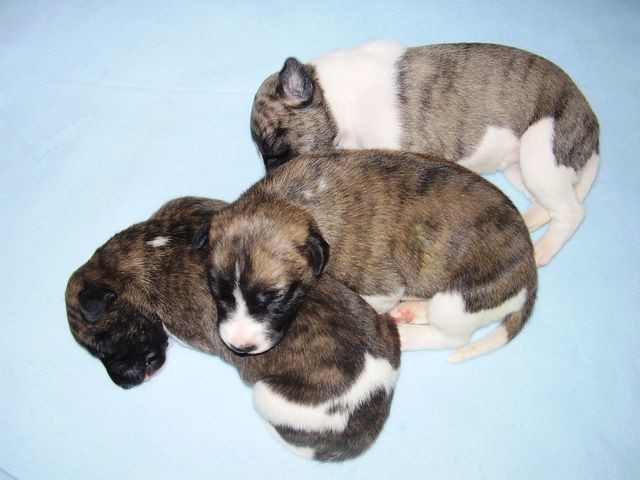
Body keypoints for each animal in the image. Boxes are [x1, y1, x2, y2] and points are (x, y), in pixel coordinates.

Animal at [202, 149, 536, 360]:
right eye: (218, 293)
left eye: (277, 299)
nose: (240, 346)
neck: (292, 200)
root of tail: (530, 274)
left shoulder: (382, 287)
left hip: (458, 299)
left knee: (451, 336)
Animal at [250, 40, 600, 266]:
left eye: (276, 144)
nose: (272, 174)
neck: (333, 93)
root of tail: (592, 127)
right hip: (522, 168)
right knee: (545, 206)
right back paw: (528, 224)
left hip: (541, 154)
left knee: (572, 212)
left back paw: (544, 250)